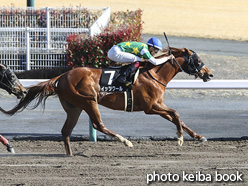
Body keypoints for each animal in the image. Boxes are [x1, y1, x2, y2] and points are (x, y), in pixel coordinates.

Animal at [0, 47, 213, 156]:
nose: (209, 74)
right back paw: (125, 141)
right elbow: (176, 114)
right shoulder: (150, 107)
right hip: (88, 101)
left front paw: (199, 136)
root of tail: (62, 76)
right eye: (198, 60)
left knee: (66, 130)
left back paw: (70, 155)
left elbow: (178, 118)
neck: (154, 73)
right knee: (98, 124)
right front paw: (179, 139)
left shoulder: (158, 105)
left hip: (74, 107)